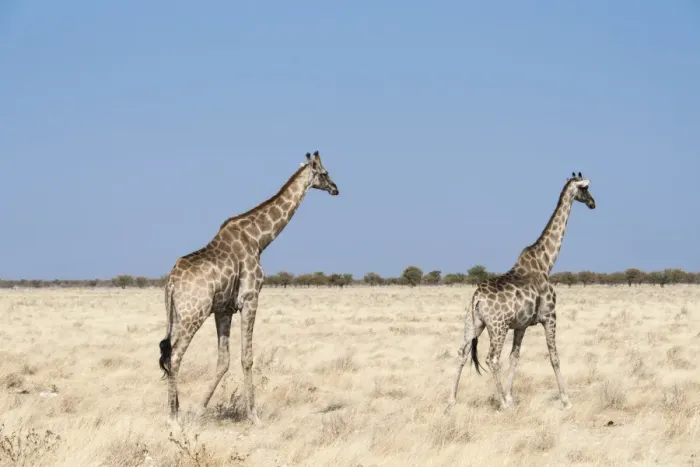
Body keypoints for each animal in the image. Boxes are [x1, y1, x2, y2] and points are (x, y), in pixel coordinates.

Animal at [158, 151, 339, 427]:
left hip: (177, 316)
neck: (259, 239)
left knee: (168, 354)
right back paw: (172, 419)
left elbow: (223, 361)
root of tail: (171, 282)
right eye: (325, 172)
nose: (335, 188)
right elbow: (247, 358)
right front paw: (253, 416)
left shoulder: (223, 309)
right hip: (193, 315)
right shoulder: (251, 298)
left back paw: (177, 411)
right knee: (175, 356)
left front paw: (199, 411)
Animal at [449, 172, 596, 410]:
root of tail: (476, 298)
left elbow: (515, 357)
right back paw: (501, 404)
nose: (593, 203)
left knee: (462, 352)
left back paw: (451, 400)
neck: (546, 263)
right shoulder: (550, 316)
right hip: (497, 327)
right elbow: (554, 356)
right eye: (585, 188)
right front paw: (566, 400)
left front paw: (510, 396)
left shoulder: (521, 325)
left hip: (473, 323)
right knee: (492, 358)